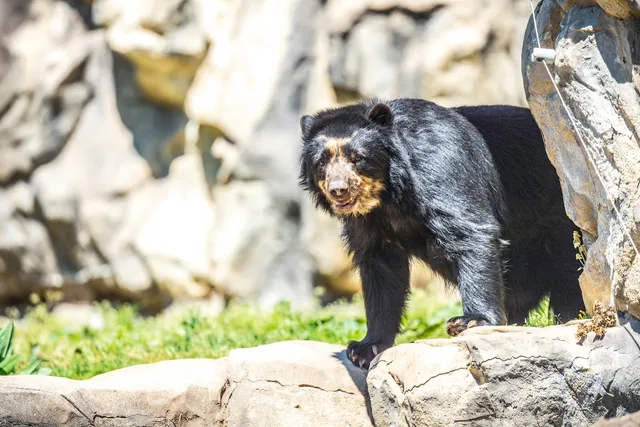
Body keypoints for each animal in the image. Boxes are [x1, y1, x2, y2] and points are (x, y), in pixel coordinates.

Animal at [298, 98, 584, 369]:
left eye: (358, 157)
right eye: (321, 161)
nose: (339, 190)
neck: (389, 195)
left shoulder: (440, 164)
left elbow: (470, 229)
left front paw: (471, 320)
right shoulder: (368, 224)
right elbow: (381, 272)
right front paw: (365, 348)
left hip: (560, 222)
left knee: (570, 276)